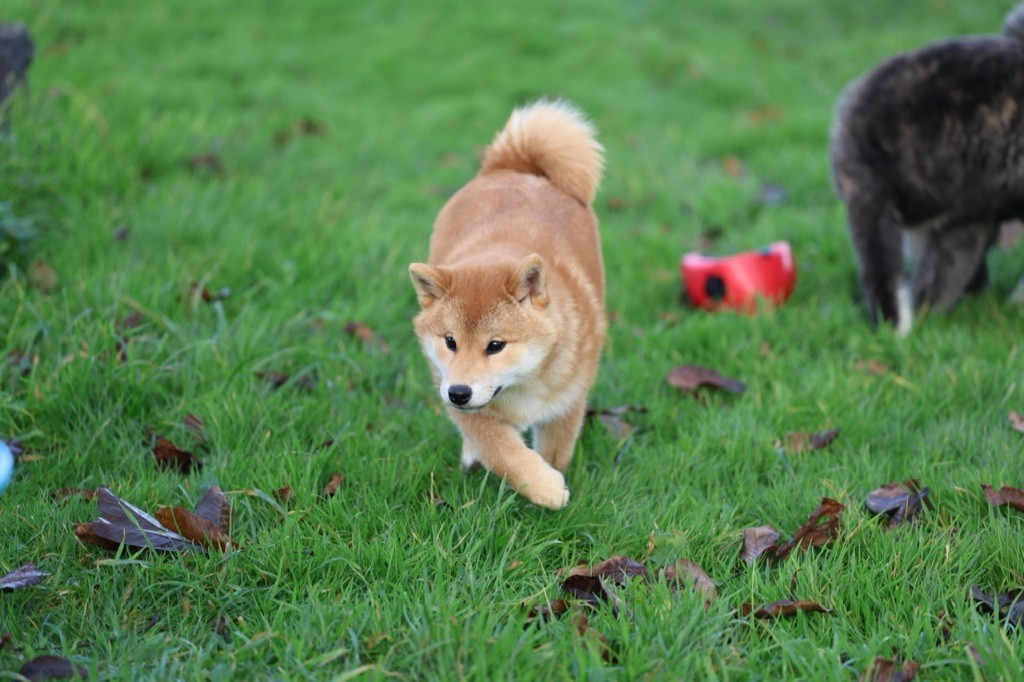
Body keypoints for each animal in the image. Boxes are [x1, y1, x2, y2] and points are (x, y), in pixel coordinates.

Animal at [407, 98, 602, 507]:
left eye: (495, 345)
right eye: (450, 342)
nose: (459, 393)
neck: (524, 383)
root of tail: (513, 168)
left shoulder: (569, 401)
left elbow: (554, 452)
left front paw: (550, 479)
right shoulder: (459, 399)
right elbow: (502, 451)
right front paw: (545, 487)